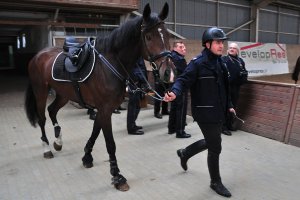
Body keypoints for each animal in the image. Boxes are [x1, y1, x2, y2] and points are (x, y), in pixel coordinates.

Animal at [24, 2, 173, 191]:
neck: (110, 64)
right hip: (41, 92)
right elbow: (110, 143)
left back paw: (58, 141)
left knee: (52, 111)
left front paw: (87, 157)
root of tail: (37, 56)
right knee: (42, 118)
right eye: (148, 37)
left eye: (167, 35)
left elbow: (95, 131)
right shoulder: (105, 109)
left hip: (64, 94)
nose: (167, 72)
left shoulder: (103, 109)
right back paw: (47, 148)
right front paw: (117, 176)